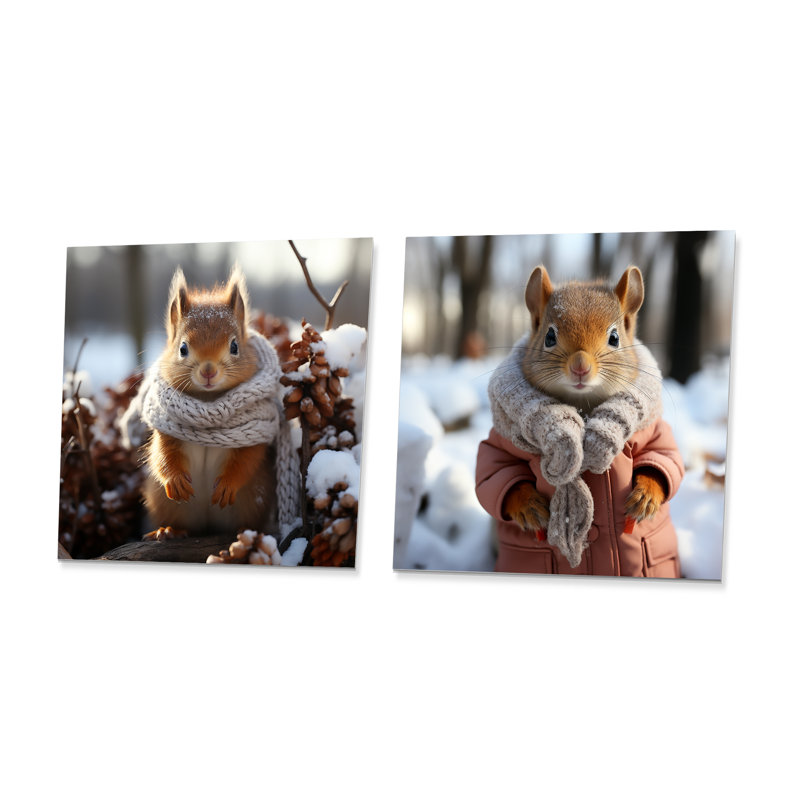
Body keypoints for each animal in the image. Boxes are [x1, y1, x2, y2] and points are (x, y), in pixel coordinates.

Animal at [142, 266, 274, 540]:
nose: (208, 371)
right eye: (182, 348)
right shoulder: (167, 431)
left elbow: (247, 459)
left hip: (254, 499)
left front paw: (227, 485)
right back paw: (169, 530)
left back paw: (246, 532)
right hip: (166, 504)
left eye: (234, 346)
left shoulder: (252, 434)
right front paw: (175, 480)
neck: (208, 400)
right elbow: (163, 454)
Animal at [502, 265, 667, 537]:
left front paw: (646, 496)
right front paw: (528, 506)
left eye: (614, 337)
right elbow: (502, 471)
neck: (583, 404)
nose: (580, 366)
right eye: (549, 336)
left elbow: (660, 456)